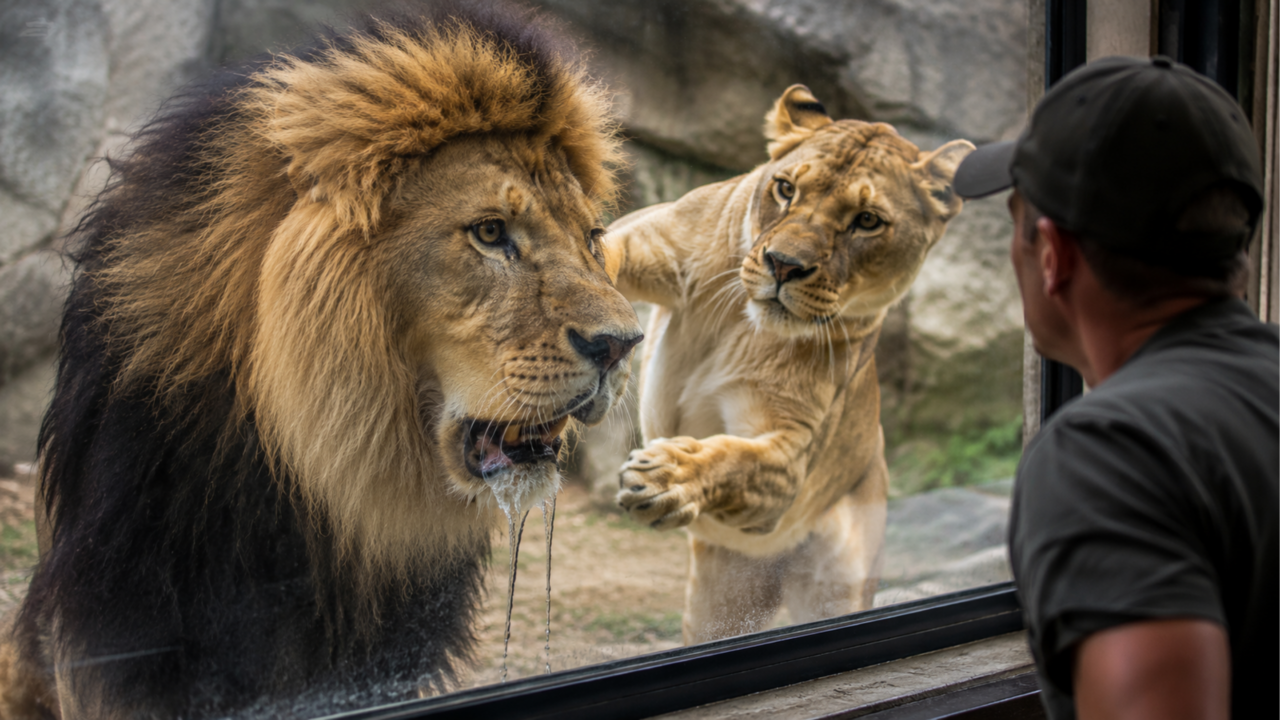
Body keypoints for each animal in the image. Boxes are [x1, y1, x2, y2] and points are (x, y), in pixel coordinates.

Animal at [606, 85, 973, 645]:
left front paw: (669, 478)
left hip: (837, 587)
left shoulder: (791, 454)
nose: (784, 265)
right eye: (785, 189)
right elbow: (592, 254)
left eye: (868, 220)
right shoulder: (645, 238)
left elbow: (736, 459)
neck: (743, 324)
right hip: (719, 602)